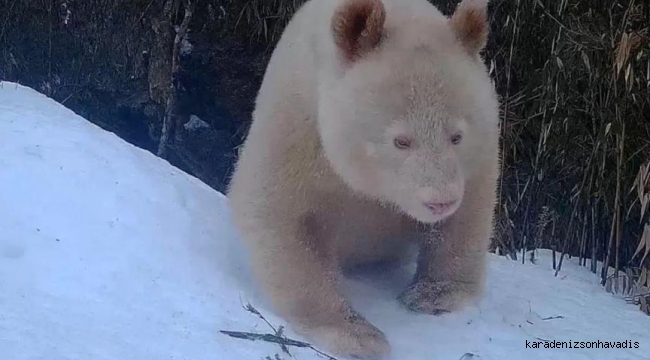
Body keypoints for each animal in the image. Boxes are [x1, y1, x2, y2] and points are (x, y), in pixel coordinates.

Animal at [228, 0, 502, 358]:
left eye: (456, 136)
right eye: (401, 141)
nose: (440, 202)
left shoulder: (478, 152)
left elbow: (469, 212)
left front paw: (434, 295)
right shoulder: (297, 125)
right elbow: (280, 214)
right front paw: (357, 335)